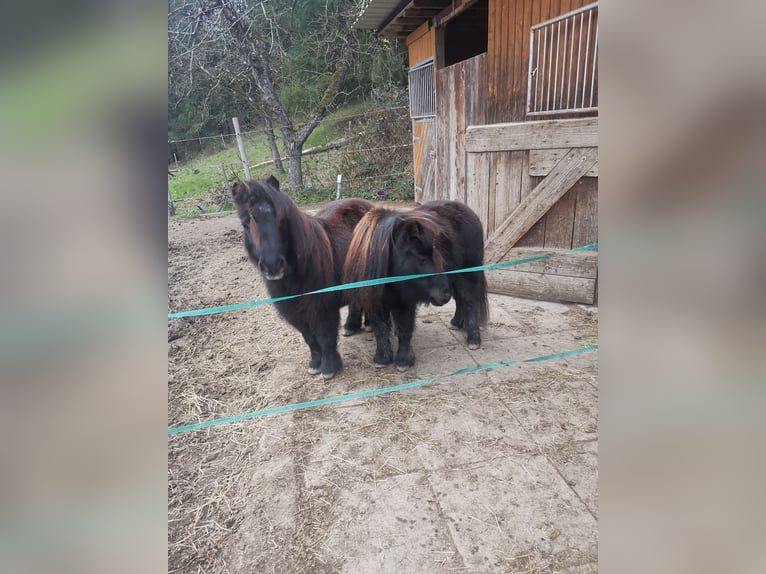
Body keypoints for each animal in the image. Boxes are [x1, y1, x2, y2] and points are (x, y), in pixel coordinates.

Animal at [234, 177, 378, 382]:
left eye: (280, 220)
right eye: (245, 223)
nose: (273, 266)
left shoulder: (323, 309)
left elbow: (325, 337)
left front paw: (329, 367)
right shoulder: (295, 312)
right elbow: (310, 339)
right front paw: (314, 365)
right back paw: (352, 326)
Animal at [344, 202, 488, 374]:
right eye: (421, 258)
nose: (443, 296)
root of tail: (468, 211)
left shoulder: (405, 302)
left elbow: (405, 328)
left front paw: (403, 360)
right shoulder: (374, 302)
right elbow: (380, 328)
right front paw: (382, 358)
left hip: (467, 276)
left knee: (470, 302)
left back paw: (473, 339)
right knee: (460, 300)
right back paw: (456, 323)